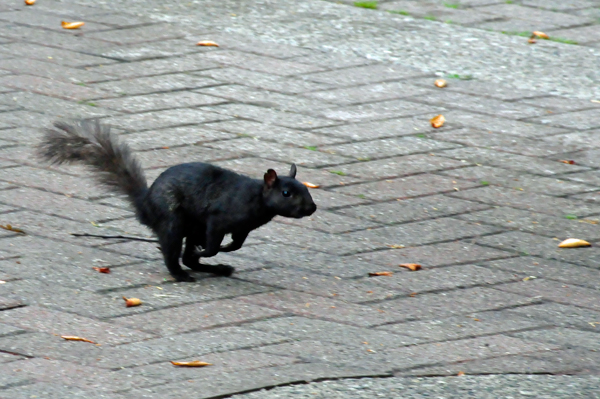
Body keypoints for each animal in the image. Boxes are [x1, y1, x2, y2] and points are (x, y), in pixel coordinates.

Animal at [37, 120, 318, 282]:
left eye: (306, 189)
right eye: (286, 193)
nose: (312, 207)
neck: (255, 200)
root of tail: (145, 207)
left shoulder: (243, 228)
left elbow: (237, 243)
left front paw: (227, 250)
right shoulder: (218, 218)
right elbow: (213, 243)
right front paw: (210, 250)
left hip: (191, 228)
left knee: (189, 259)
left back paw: (217, 268)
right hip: (174, 222)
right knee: (175, 256)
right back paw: (183, 275)